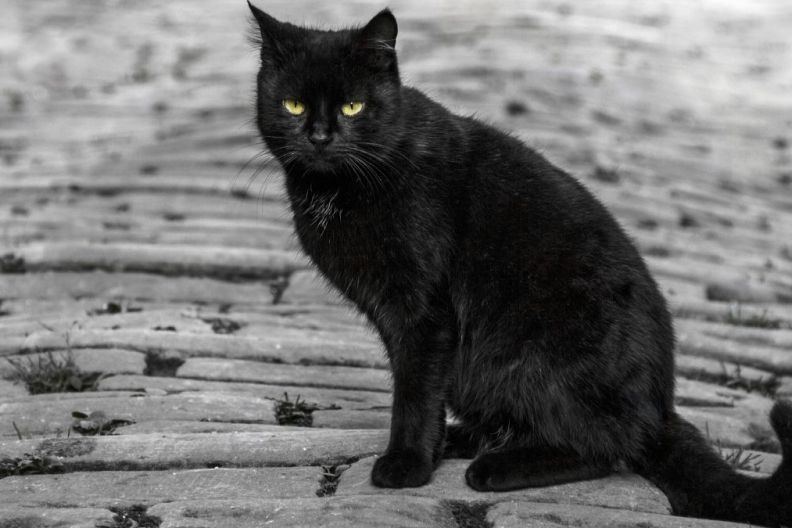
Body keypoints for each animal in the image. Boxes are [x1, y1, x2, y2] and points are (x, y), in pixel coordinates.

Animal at [249, 3, 792, 524]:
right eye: (293, 105)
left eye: (353, 106)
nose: (320, 136)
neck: (335, 192)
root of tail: (661, 409)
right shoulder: (397, 318)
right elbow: (422, 387)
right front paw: (427, 450)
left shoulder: (423, 313)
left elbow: (415, 391)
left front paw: (406, 465)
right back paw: (466, 440)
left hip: (538, 355)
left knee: (605, 447)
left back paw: (495, 466)